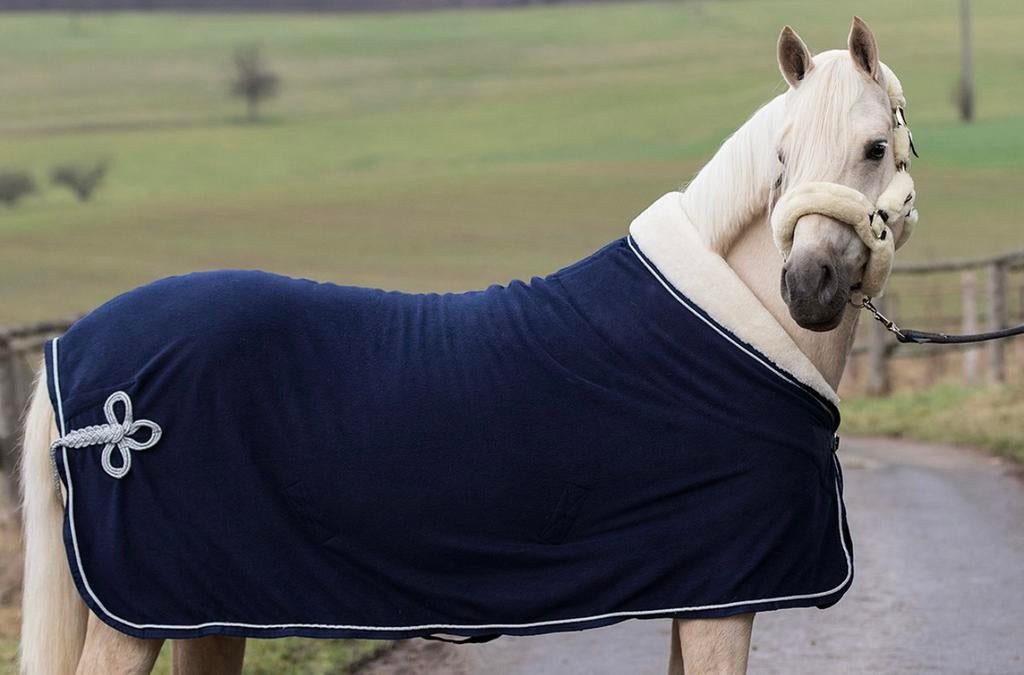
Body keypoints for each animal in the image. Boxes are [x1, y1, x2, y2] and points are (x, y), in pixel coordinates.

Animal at [20, 17, 916, 675]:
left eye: (875, 148)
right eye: (782, 156)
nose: (808, 285)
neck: (734, 323)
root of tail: (74, 353)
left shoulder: (699, 593)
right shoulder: (725, 598)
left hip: (206, 609)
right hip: (138, 617)